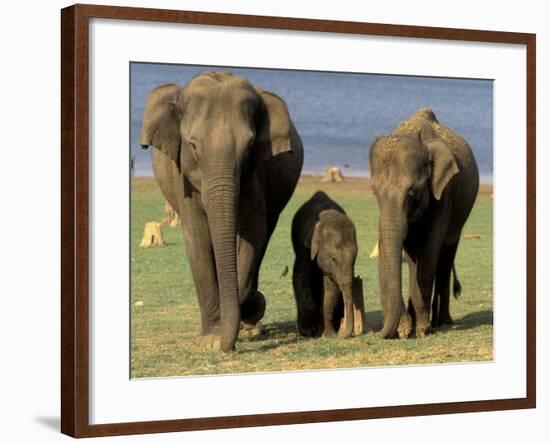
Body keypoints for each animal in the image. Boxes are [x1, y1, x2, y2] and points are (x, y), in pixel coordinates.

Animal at [140, 72, 304, 352]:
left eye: (249, 146)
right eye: (193, 145)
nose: (223, 344)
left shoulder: (255, 171)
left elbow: (252, 229)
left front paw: (249, 309)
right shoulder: (181, 177)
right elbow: (197, 236)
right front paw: (209, 340)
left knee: (265, 234)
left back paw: (251, 327)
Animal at [294, 190, 366, 338]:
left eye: (354, 259)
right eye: (333, 259)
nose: (340, 335)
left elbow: (331, 288)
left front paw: (328, 334)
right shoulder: (304, 246)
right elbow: (301, 276)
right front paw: (309, 331)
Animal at [368, 108, 480, 338]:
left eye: (411, 192)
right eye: (374, 192)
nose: (379, 333)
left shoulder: (443, 194)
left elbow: (429, 251)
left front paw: (421, 330)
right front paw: (406, 329)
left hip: (459, 219)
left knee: (445, 256)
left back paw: (441, 321)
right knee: (414, 260)